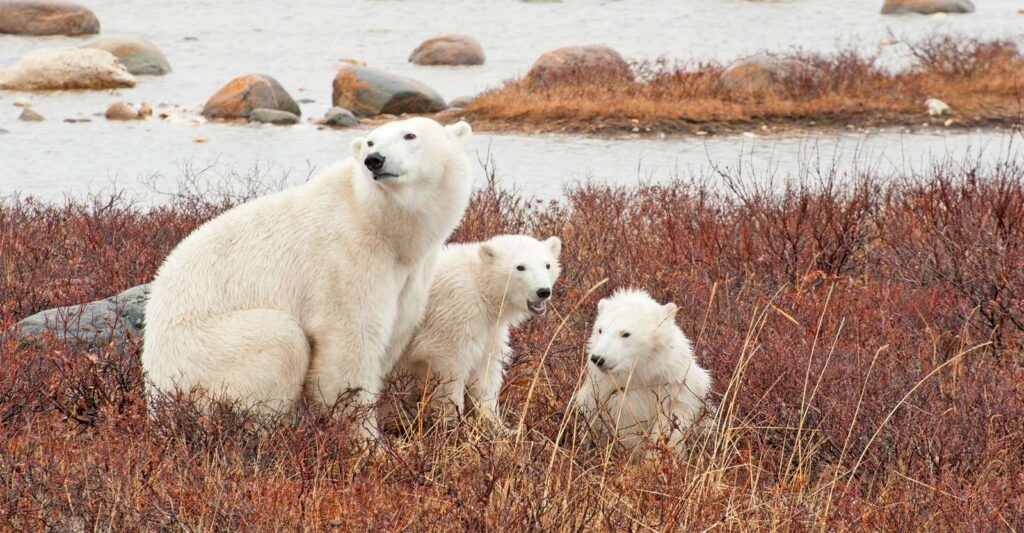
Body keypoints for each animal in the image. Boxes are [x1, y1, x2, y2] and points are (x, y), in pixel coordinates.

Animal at [142, 116, 473, 435]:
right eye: (370, 141)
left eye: (410, 135)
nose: (374, 160)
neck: (381, 224)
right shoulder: (345, 259)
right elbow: (348, 343)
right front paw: (365, 440)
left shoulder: (411, 274)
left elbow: (393, 331)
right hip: (204, 354)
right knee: (280, 339)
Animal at [391, 233, 565, 427]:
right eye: (520, 267)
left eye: (547, 265)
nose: (543, 291)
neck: (479, 284)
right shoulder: (456, 313)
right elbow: (450, 367)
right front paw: (452, 422)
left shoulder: (490, 328)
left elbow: (486, 370)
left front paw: (497, 425)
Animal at [577, 288, 712, 450]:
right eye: (600, 330)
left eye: (625, 333)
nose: (598, 358)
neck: (642, 374)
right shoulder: (607, 394)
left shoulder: (676, 391)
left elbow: (669, 427)